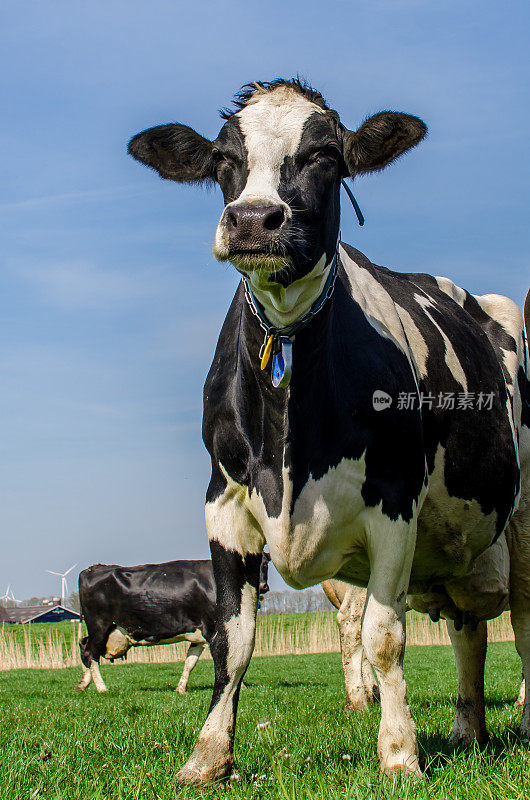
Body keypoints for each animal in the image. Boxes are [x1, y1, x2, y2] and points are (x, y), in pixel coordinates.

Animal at [75, 556, 268, 692]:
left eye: (265, 564)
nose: (263, 586)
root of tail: (94, 568)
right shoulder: (214, 629)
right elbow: (229, 659)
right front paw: (239, 687)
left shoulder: (199, 634)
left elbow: (190, 662)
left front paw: (181, 688)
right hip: (99, 626)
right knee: (90, 653)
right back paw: (101, 688)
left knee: (83, 645)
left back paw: (83, 684)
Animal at [129, 76, 528, 780]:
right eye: (222, 160)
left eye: (326, 156)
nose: (254, 219)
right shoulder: (224, 500)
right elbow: (232, 640)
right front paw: (208, 756)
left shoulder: (395, 502)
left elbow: (384, 636)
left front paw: (399, 753)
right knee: (469, 630)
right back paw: (467, 730)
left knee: (528, 625)